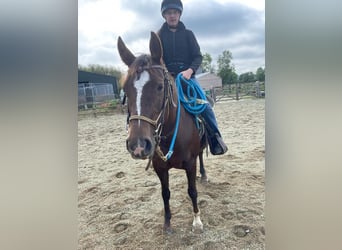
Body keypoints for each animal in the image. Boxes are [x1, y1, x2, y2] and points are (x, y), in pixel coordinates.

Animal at [117, 31, 208, 232]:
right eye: (125, 89)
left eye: (160, 86)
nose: (138, 145)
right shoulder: (159, 167)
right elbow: (165, 193)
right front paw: (167, 223)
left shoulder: (190, 164)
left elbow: (192, 191)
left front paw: (197, 220)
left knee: (201, 156)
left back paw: (204, 175)